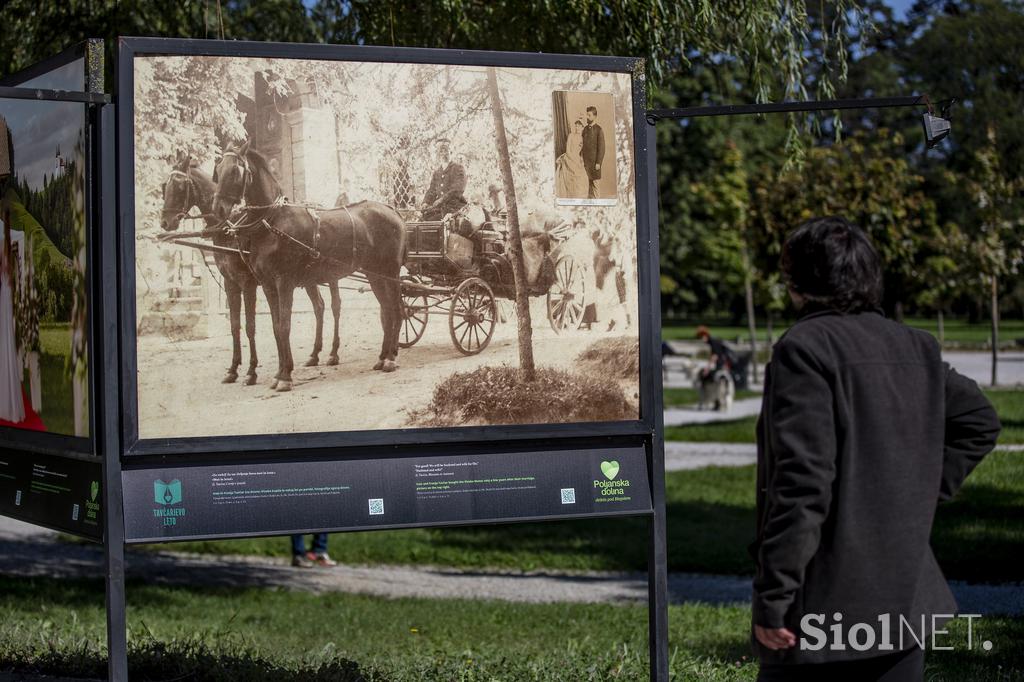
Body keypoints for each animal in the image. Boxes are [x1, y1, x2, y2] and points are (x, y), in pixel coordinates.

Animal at [155, 154, 339, 387]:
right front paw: (233, 369)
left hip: (329, 275)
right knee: (319, 306)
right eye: (165, 187)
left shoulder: (248, 283)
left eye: (179, 186)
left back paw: (333, 353)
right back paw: (314, 355)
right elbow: (235, 326)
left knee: (335, 306)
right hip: (308, 279)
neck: (230, 228)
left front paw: (252, 371)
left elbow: (250, 325)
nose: (165, 222)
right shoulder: (230, 283)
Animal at [210, 140, 403, 391]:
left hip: (391, 271)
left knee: (395, 309)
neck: (272, 222)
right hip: (375, 274)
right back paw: (382, 357)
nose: (219, 209)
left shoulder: (283, 282)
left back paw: (390, 358)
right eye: (218, 169)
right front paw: (280, 373)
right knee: (387, 310)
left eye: (235, 170)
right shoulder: (267, 284)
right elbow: (276, 327)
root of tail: (391, 210)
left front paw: (284, 376)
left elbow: (284, 326)